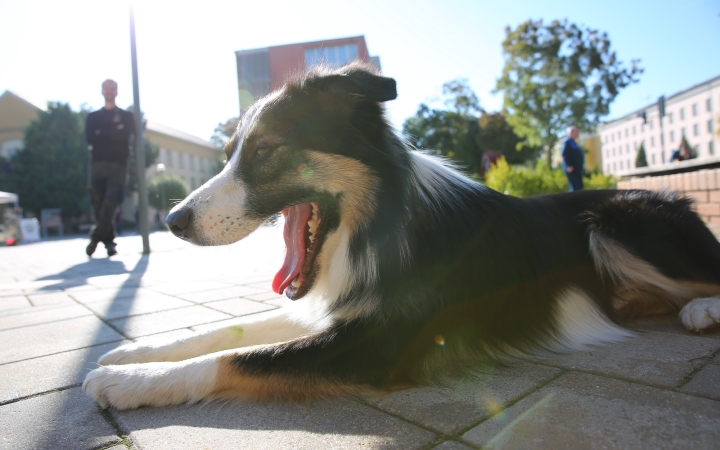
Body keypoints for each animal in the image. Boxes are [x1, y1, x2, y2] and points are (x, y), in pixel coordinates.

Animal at [81, 61, 720, 410]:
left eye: (264, 152)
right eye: (231, 153)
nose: (172, 222)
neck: (382, 224)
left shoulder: (383, 343)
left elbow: (242, 357)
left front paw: (127, 380)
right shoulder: (336, 304)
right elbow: (229, 330)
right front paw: (134, 351)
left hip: (617, 224)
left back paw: (700, 311)